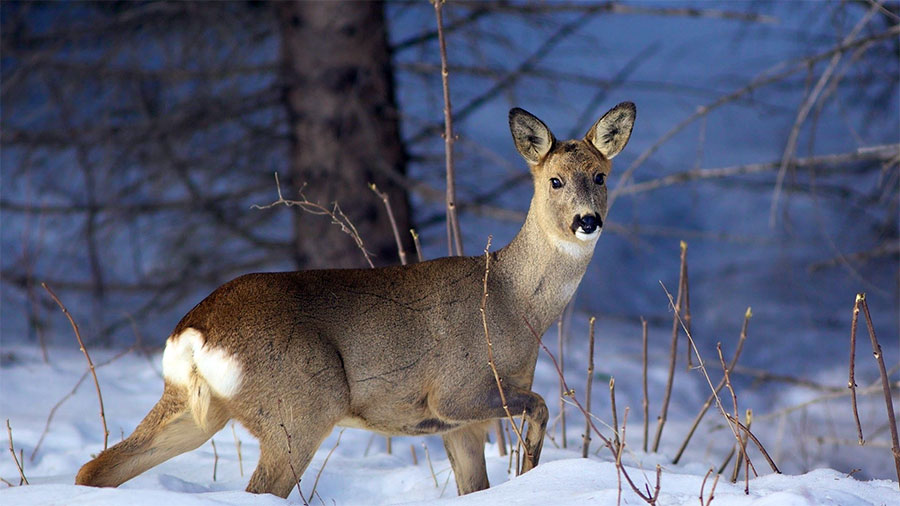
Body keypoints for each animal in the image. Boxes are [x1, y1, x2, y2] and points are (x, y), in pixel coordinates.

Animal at [77, 103, 636, 498]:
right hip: (300, 406)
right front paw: (530, 471)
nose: (587, 220)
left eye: (601, 176)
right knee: (259, 488)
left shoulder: (461, 426)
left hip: (195, 408)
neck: (511, 300)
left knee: (96, 467)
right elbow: (540, 406)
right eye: (554, 180)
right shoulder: (456, 391)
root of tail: (194, 331)